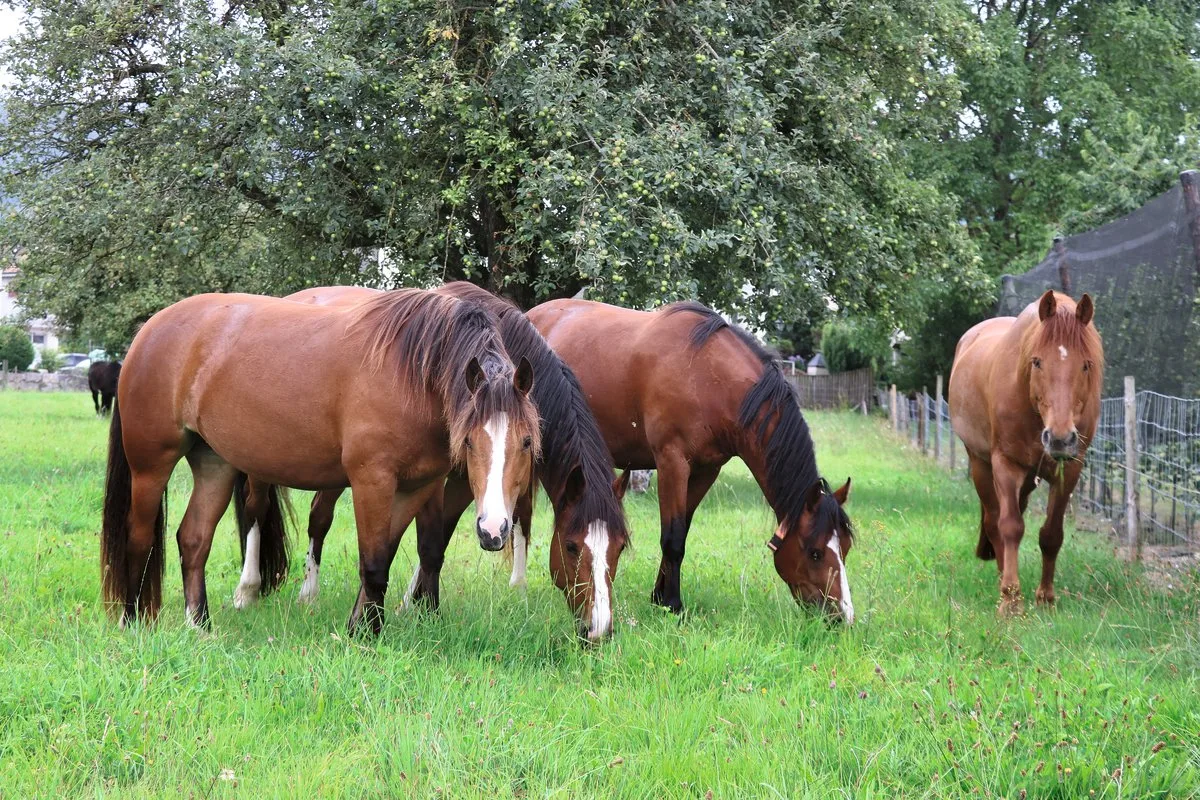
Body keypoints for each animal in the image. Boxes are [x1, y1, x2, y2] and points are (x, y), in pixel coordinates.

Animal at [100, 290, 540, 635]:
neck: (412, 375)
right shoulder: (372, 481)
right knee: (140, 536)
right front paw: (366, 635)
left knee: (193, 539)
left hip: (214, 464)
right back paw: (133, 622)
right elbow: (374, 561)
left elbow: (396, 553)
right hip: (150, 465)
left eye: (526, 441)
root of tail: (148, 331)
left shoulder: (417, 486)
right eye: (468, 441)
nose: (494, 530)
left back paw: (199, 626)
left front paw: (363, 624)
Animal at [235, 283, 630, 640]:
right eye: (571, 546)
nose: (599, 630)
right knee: (268, 510)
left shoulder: (466, 484)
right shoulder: (436, 478)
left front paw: (420, 608)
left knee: (319, 515)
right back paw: (260, 591)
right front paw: (412, 606)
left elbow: (430, 543)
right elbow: (428, 542)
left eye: (620, 547)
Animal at [528, 299, 856, 622]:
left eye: (846, 548)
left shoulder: (705, 470)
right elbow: (672, 538)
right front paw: (673, 604)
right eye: (815, 552)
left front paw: (659, 598)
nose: (842, 618)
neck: (707, 376)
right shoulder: (672, 462)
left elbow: (682, 531)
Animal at [949, 290, 1102, 614]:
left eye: (1086, 364)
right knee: (995, 522)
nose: (1059, 439)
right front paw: (1011, 601)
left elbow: (1051, 534)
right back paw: (1002, 581)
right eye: (1037, 362)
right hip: (980, 465)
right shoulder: (1006, 465)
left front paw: (1045, 598)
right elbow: (1010, 528)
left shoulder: (1070, 469)